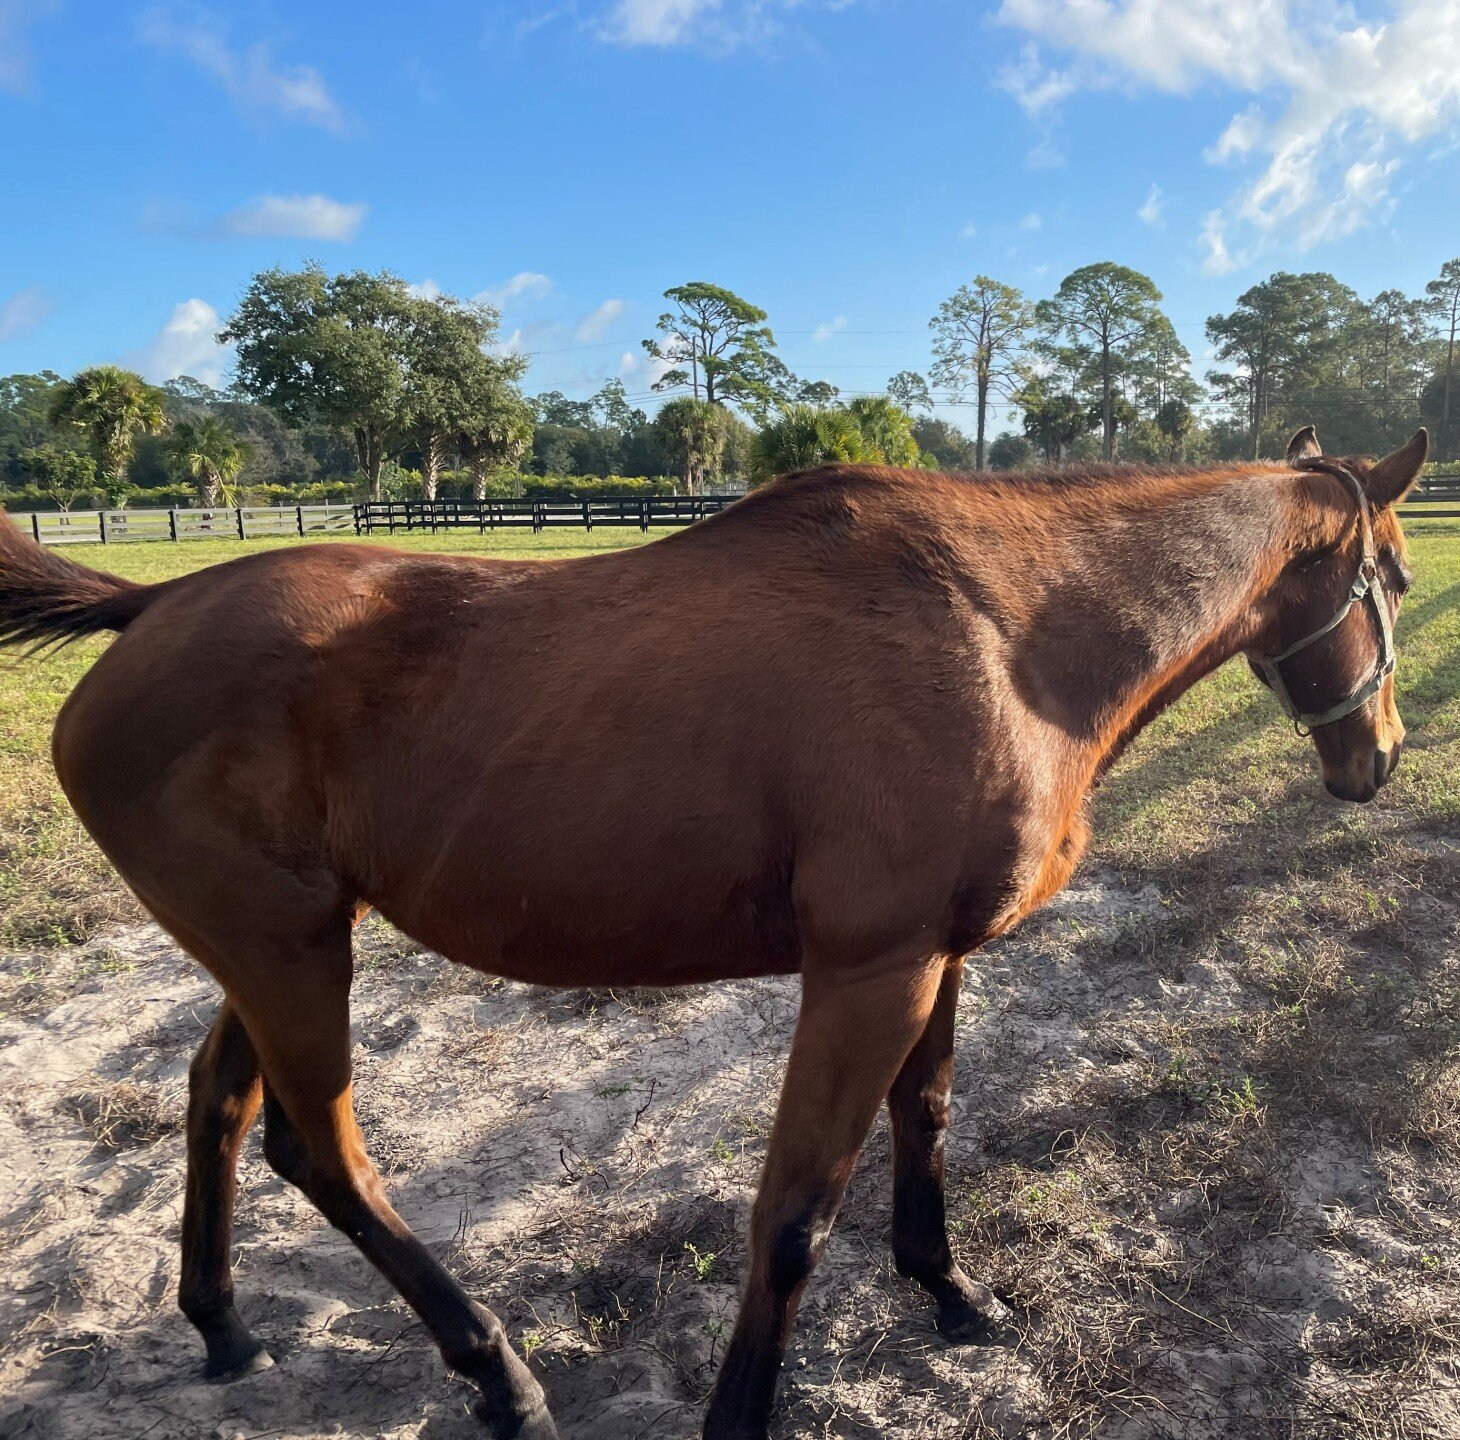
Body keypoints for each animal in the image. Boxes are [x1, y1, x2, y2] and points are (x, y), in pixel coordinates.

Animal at [0, 425, 1423, 1440]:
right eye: (1394, 580)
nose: (1382, 756)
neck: (1001, 632)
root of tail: (154, 606)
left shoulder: (935, 958)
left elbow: (926, 1122)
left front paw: (950, 1292)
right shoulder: (867, 974)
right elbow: (792, 1214)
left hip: (283, 943)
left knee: (221, 1105)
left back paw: (225, 1329)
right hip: (289, 953)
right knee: (322, 1153)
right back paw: (497, 1377)